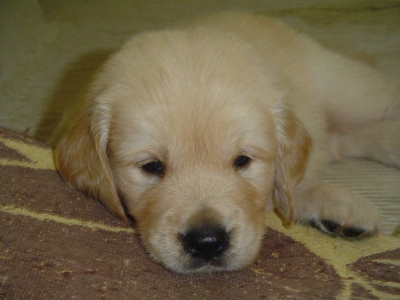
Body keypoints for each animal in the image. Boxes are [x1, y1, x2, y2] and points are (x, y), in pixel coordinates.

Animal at [54, 11, 400, 274]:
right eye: (151, 166)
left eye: (243, 160)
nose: (207, 242)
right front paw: (334, 205)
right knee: (350, 139)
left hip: (352, 94)